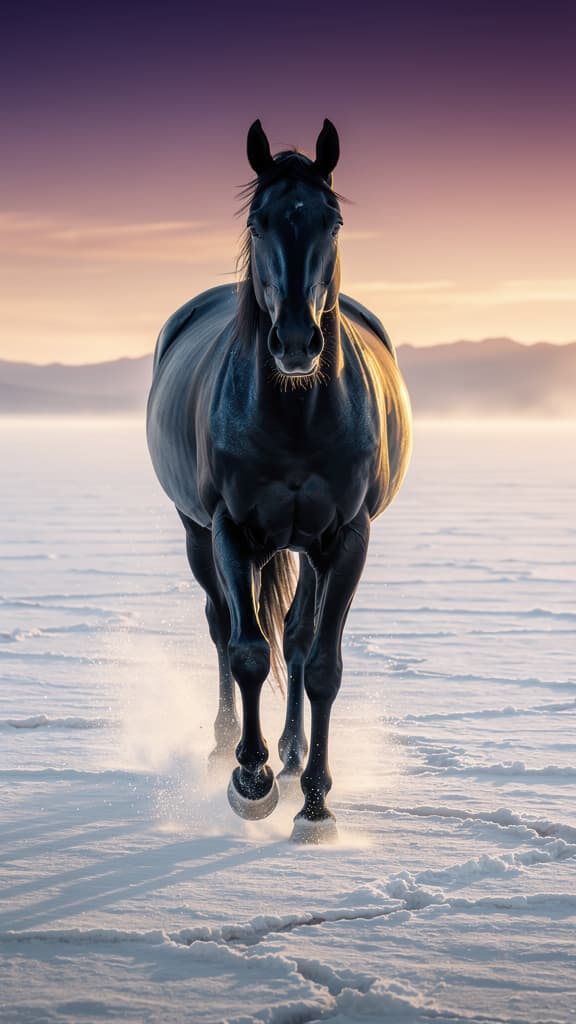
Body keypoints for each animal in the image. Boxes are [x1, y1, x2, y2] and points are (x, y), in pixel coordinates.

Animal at [147, 119, 412, 842]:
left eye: (333, 219)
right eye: (258, 221)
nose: (296, 342)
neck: (296, 414)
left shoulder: (348, 538)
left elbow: (320, 665)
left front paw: (316, 803)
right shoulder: (232, 531)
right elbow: (247, 652)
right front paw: (251, 781)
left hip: (308, 547)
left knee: (293, 638)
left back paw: (293, 757)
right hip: (197, 534)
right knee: (223, 626)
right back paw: (230, 749)